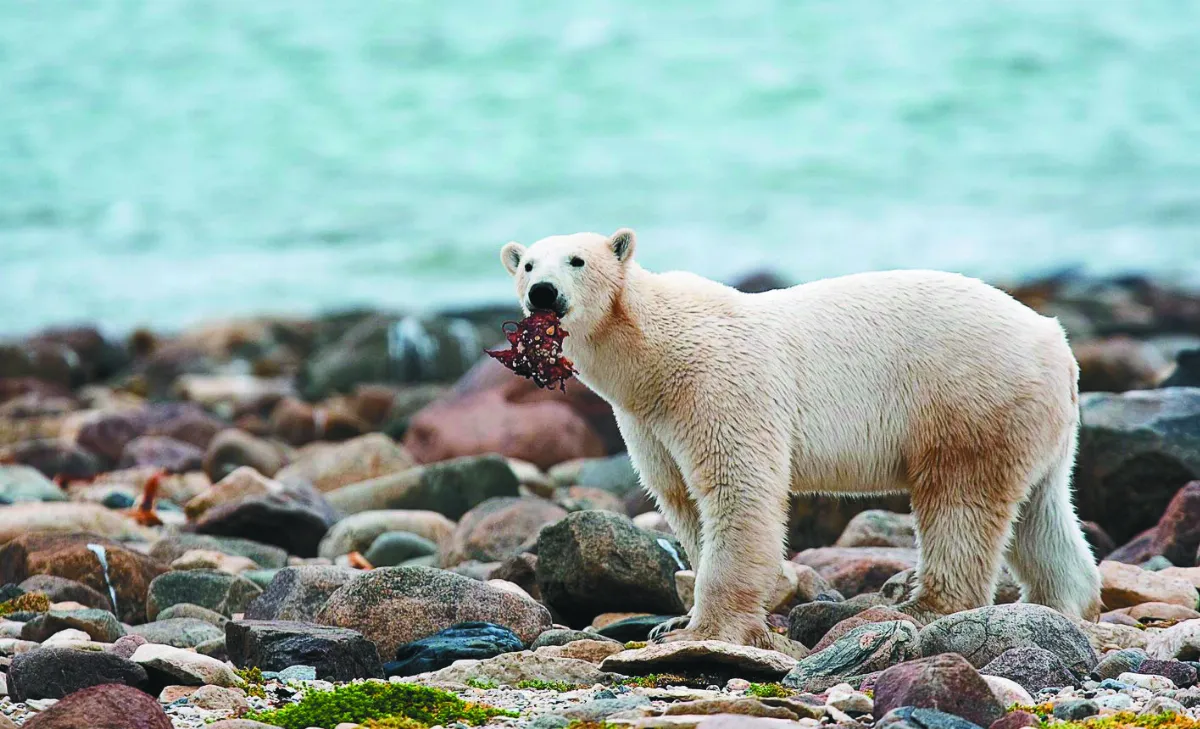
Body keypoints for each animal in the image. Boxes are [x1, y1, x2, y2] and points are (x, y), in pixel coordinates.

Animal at [499, 228, 1102, 653]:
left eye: (577, 260)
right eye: (527, 264)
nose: (543, 293)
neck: (654, 353)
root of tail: (1055, 340)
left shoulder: (718, 386)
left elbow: (737, 489)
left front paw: (704, 629)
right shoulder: (647, 420)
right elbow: (681, 498)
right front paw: (675, 620)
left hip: (967, 397)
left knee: (960, 500)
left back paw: (924, 606)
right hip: (1033, 420)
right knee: (1042, 512)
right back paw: (1064, 604)